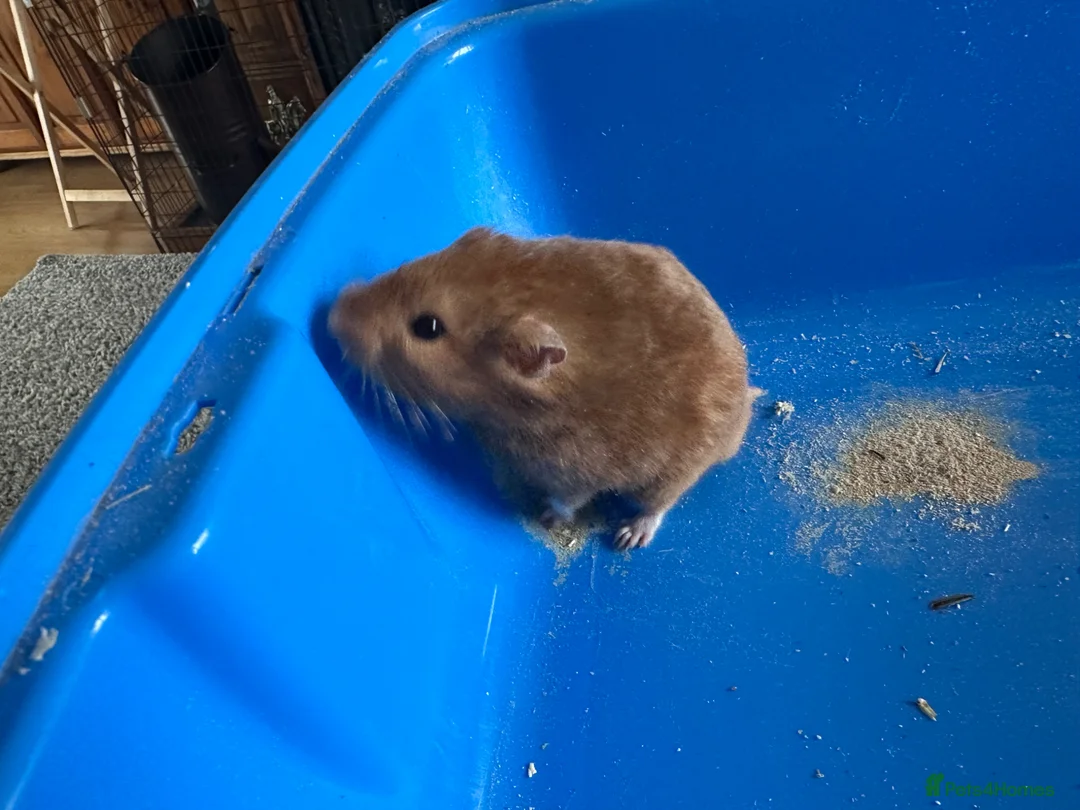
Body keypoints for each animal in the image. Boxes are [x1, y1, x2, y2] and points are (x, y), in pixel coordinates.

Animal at [328, 227, 757, 550]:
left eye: (427, 328)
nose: (331, 315)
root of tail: (746, 404)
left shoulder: (577, 470)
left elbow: (568, 501)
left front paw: (547, 517)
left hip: (675, 471)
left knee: (659, 504)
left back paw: (628, 537)